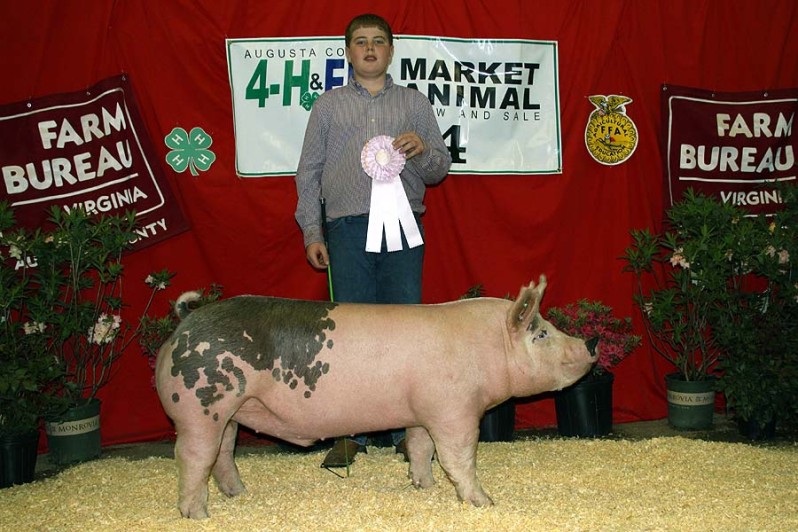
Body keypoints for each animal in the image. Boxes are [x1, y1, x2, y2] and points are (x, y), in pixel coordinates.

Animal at [156, 276, 596, 516]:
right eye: (542, 334)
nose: (590, 343)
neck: (487, 348)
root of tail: (186, 322)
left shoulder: (420, 412)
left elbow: (419, 448)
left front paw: (424, 487)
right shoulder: (453, 410)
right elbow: (459, 456)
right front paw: (484, 503)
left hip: (230, 412)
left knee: (223, 452)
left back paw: (240, 495)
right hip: (200, 408)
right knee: (193, 456)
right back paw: (198, 515)